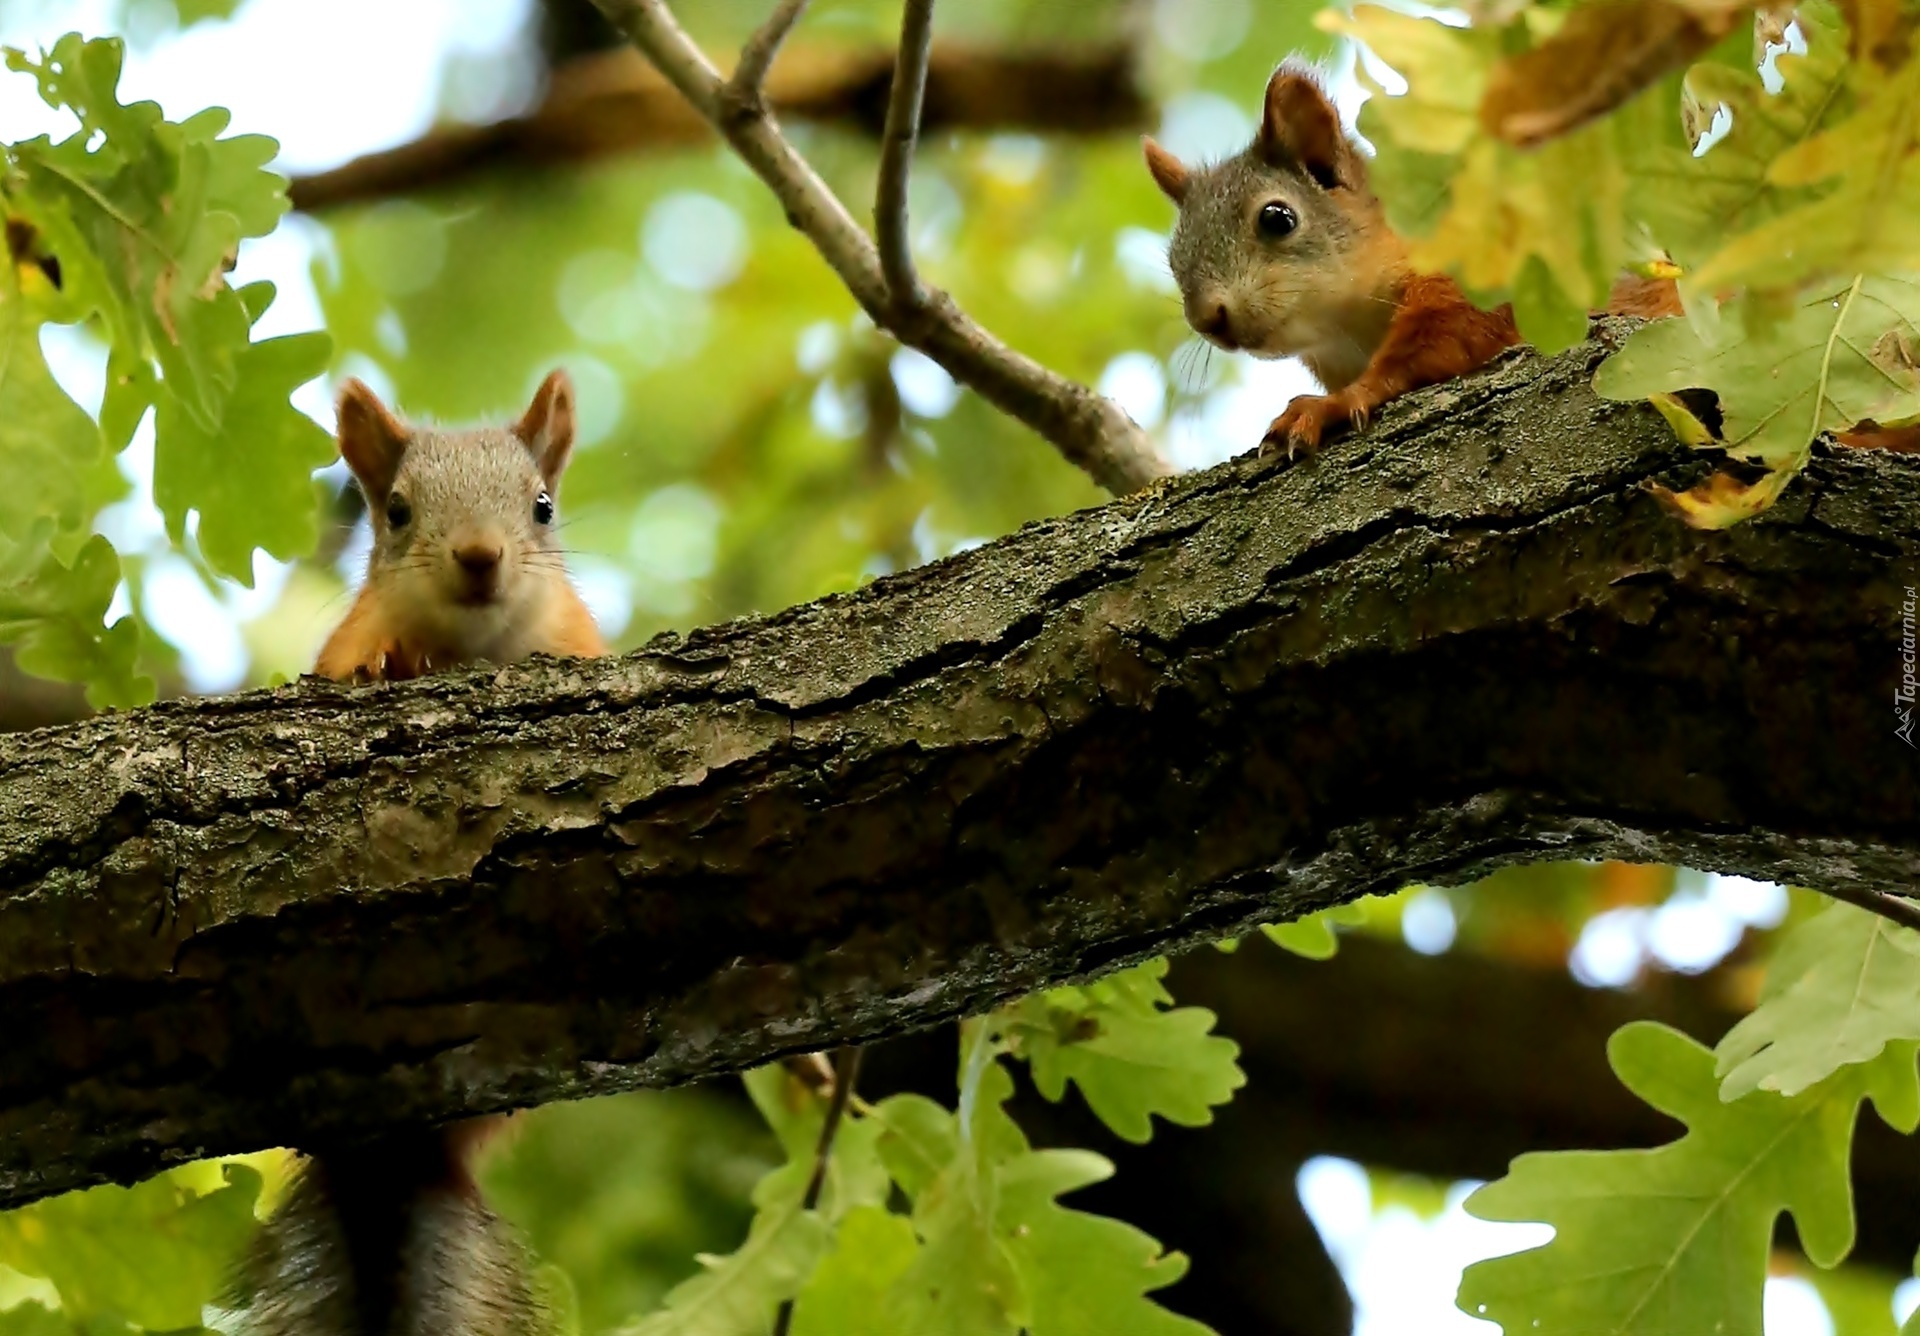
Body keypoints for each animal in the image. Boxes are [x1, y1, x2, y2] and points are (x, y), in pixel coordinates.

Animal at [1136, 63, 1681, 458]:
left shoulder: (1479, 280)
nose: (1208, 319)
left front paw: (1332, 404)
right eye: (1174, 258)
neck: (1345, 330)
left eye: (1277, 218)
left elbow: (1433, 346)